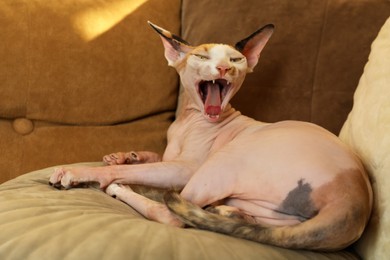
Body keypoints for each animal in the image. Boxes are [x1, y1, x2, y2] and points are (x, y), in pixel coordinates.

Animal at [48, 22, 372, 252]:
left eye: (236, 59)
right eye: (201, 56)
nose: (224, 68)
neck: (190, 120)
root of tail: (356, 201)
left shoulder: (184, 169)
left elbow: (134, 172)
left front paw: (83, 172)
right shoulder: (170, 157)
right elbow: (152, 156)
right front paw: (124, 155)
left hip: (225, 161)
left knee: (170, 214)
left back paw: (121, 189)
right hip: (272, 214)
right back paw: (227, 213)